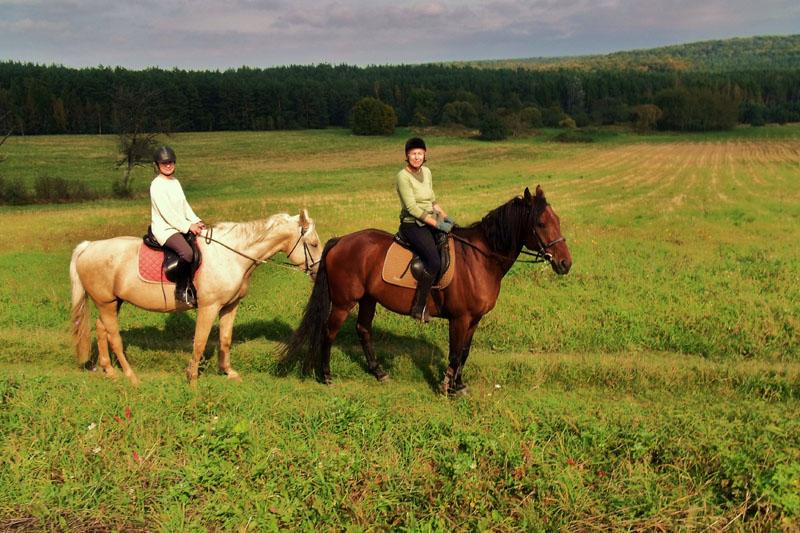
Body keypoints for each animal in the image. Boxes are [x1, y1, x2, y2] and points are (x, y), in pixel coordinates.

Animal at [69, 206, 322, 384]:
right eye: (313, 243)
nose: (318, 272)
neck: (231, 256)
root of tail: (88, 247)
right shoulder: (209, 307)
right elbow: (200, 342)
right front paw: (192, 377)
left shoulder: (230, 306)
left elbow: (225, 339)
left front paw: (228, 372)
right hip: (106, 302)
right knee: (114, 336)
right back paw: (131, 377)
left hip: (112, 302)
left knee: (101, 329)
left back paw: (110, 371)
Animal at [284, 185, 572, 392]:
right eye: (541, 224)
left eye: (558, 219)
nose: (565, 263)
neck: (479, 258)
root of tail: (341, 240)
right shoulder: (460, 318)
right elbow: (455, 353)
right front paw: (448, 388)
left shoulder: (474, 319)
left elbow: (464, 353)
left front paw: (459, 385)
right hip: (345, 302)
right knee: (329, 332)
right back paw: (326, 375)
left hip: (368, 299)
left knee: (363, 330)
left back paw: (379, 372)